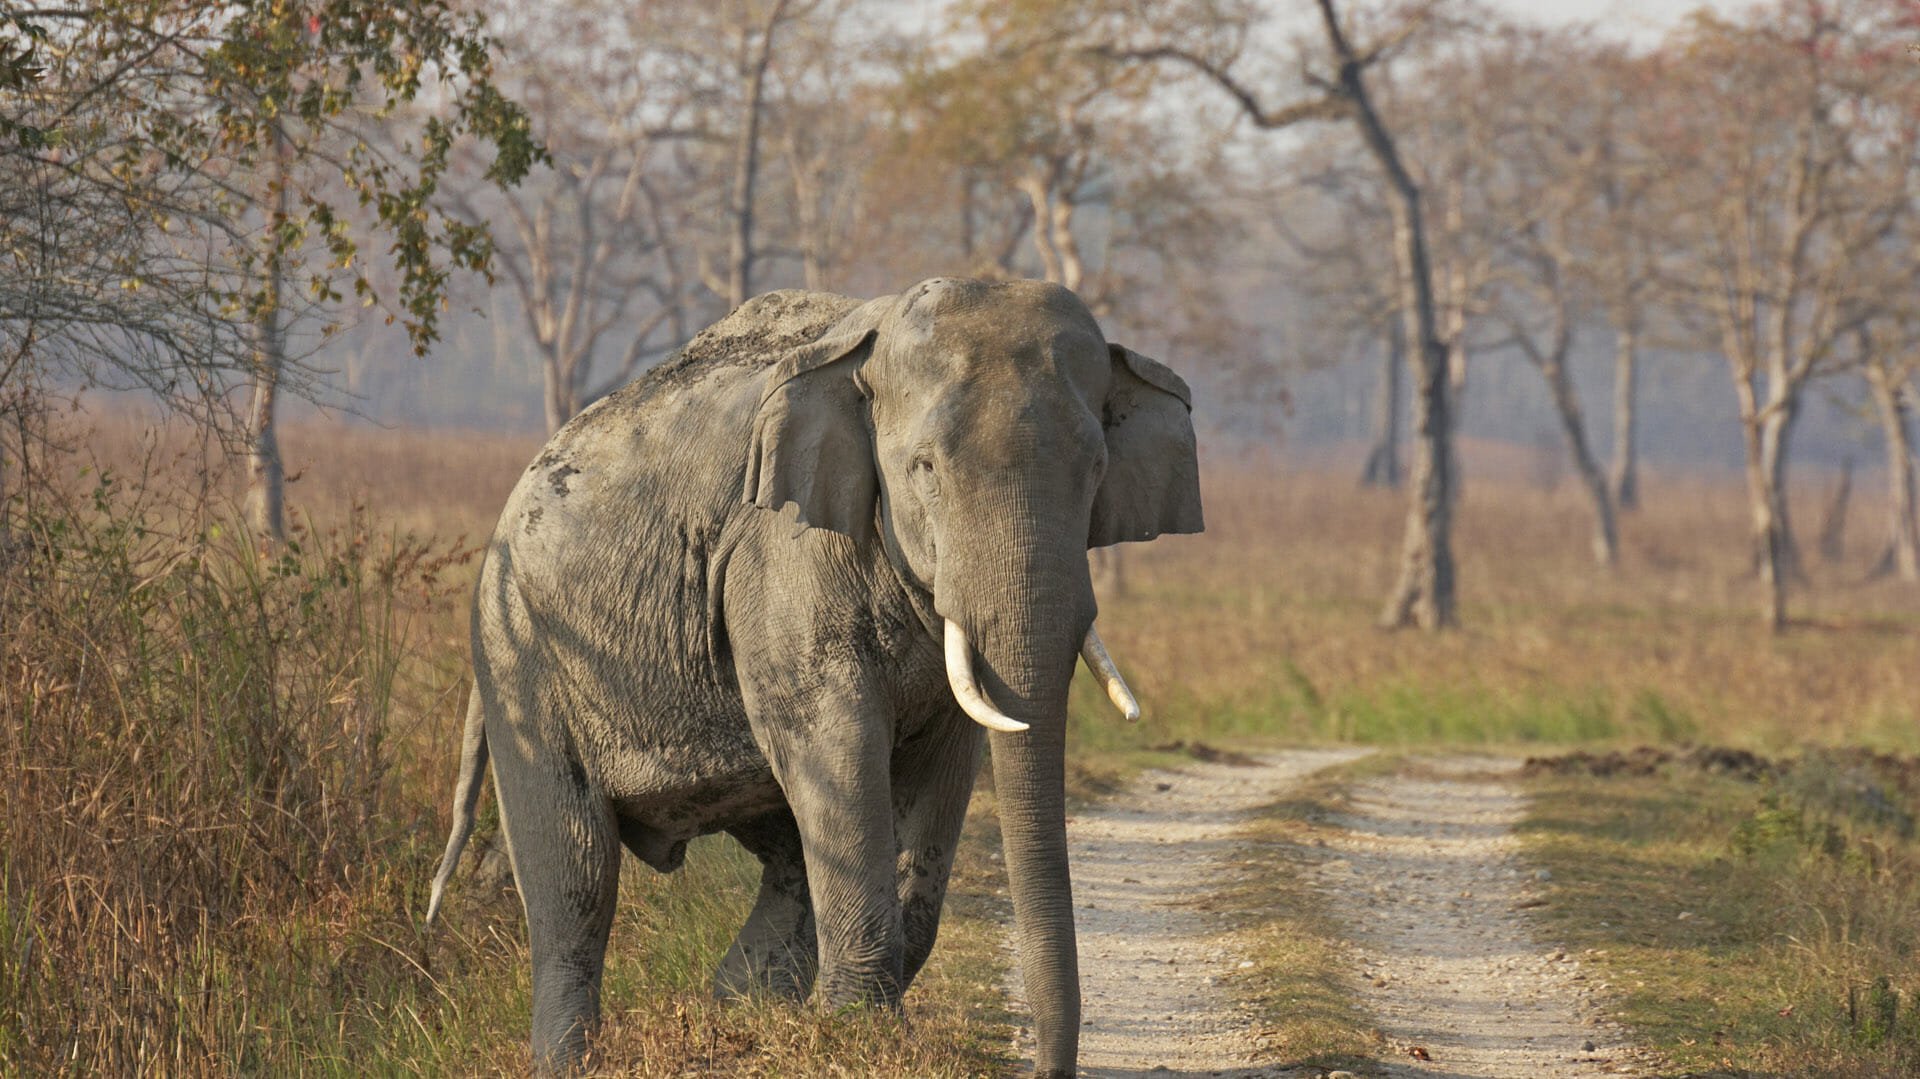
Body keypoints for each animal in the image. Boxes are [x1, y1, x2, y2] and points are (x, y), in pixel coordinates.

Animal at [430, 274, 1205, 1067]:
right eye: (925, 470)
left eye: (1098, 471)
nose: (1048, 1069)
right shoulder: (780, 552)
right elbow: (835, 740)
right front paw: (864, 1035)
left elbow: (939, 767)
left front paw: (845, 1025)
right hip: (519, 650)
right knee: (575, 872)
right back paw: (576, 1057)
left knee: (785, 856)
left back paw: (742, 1013)